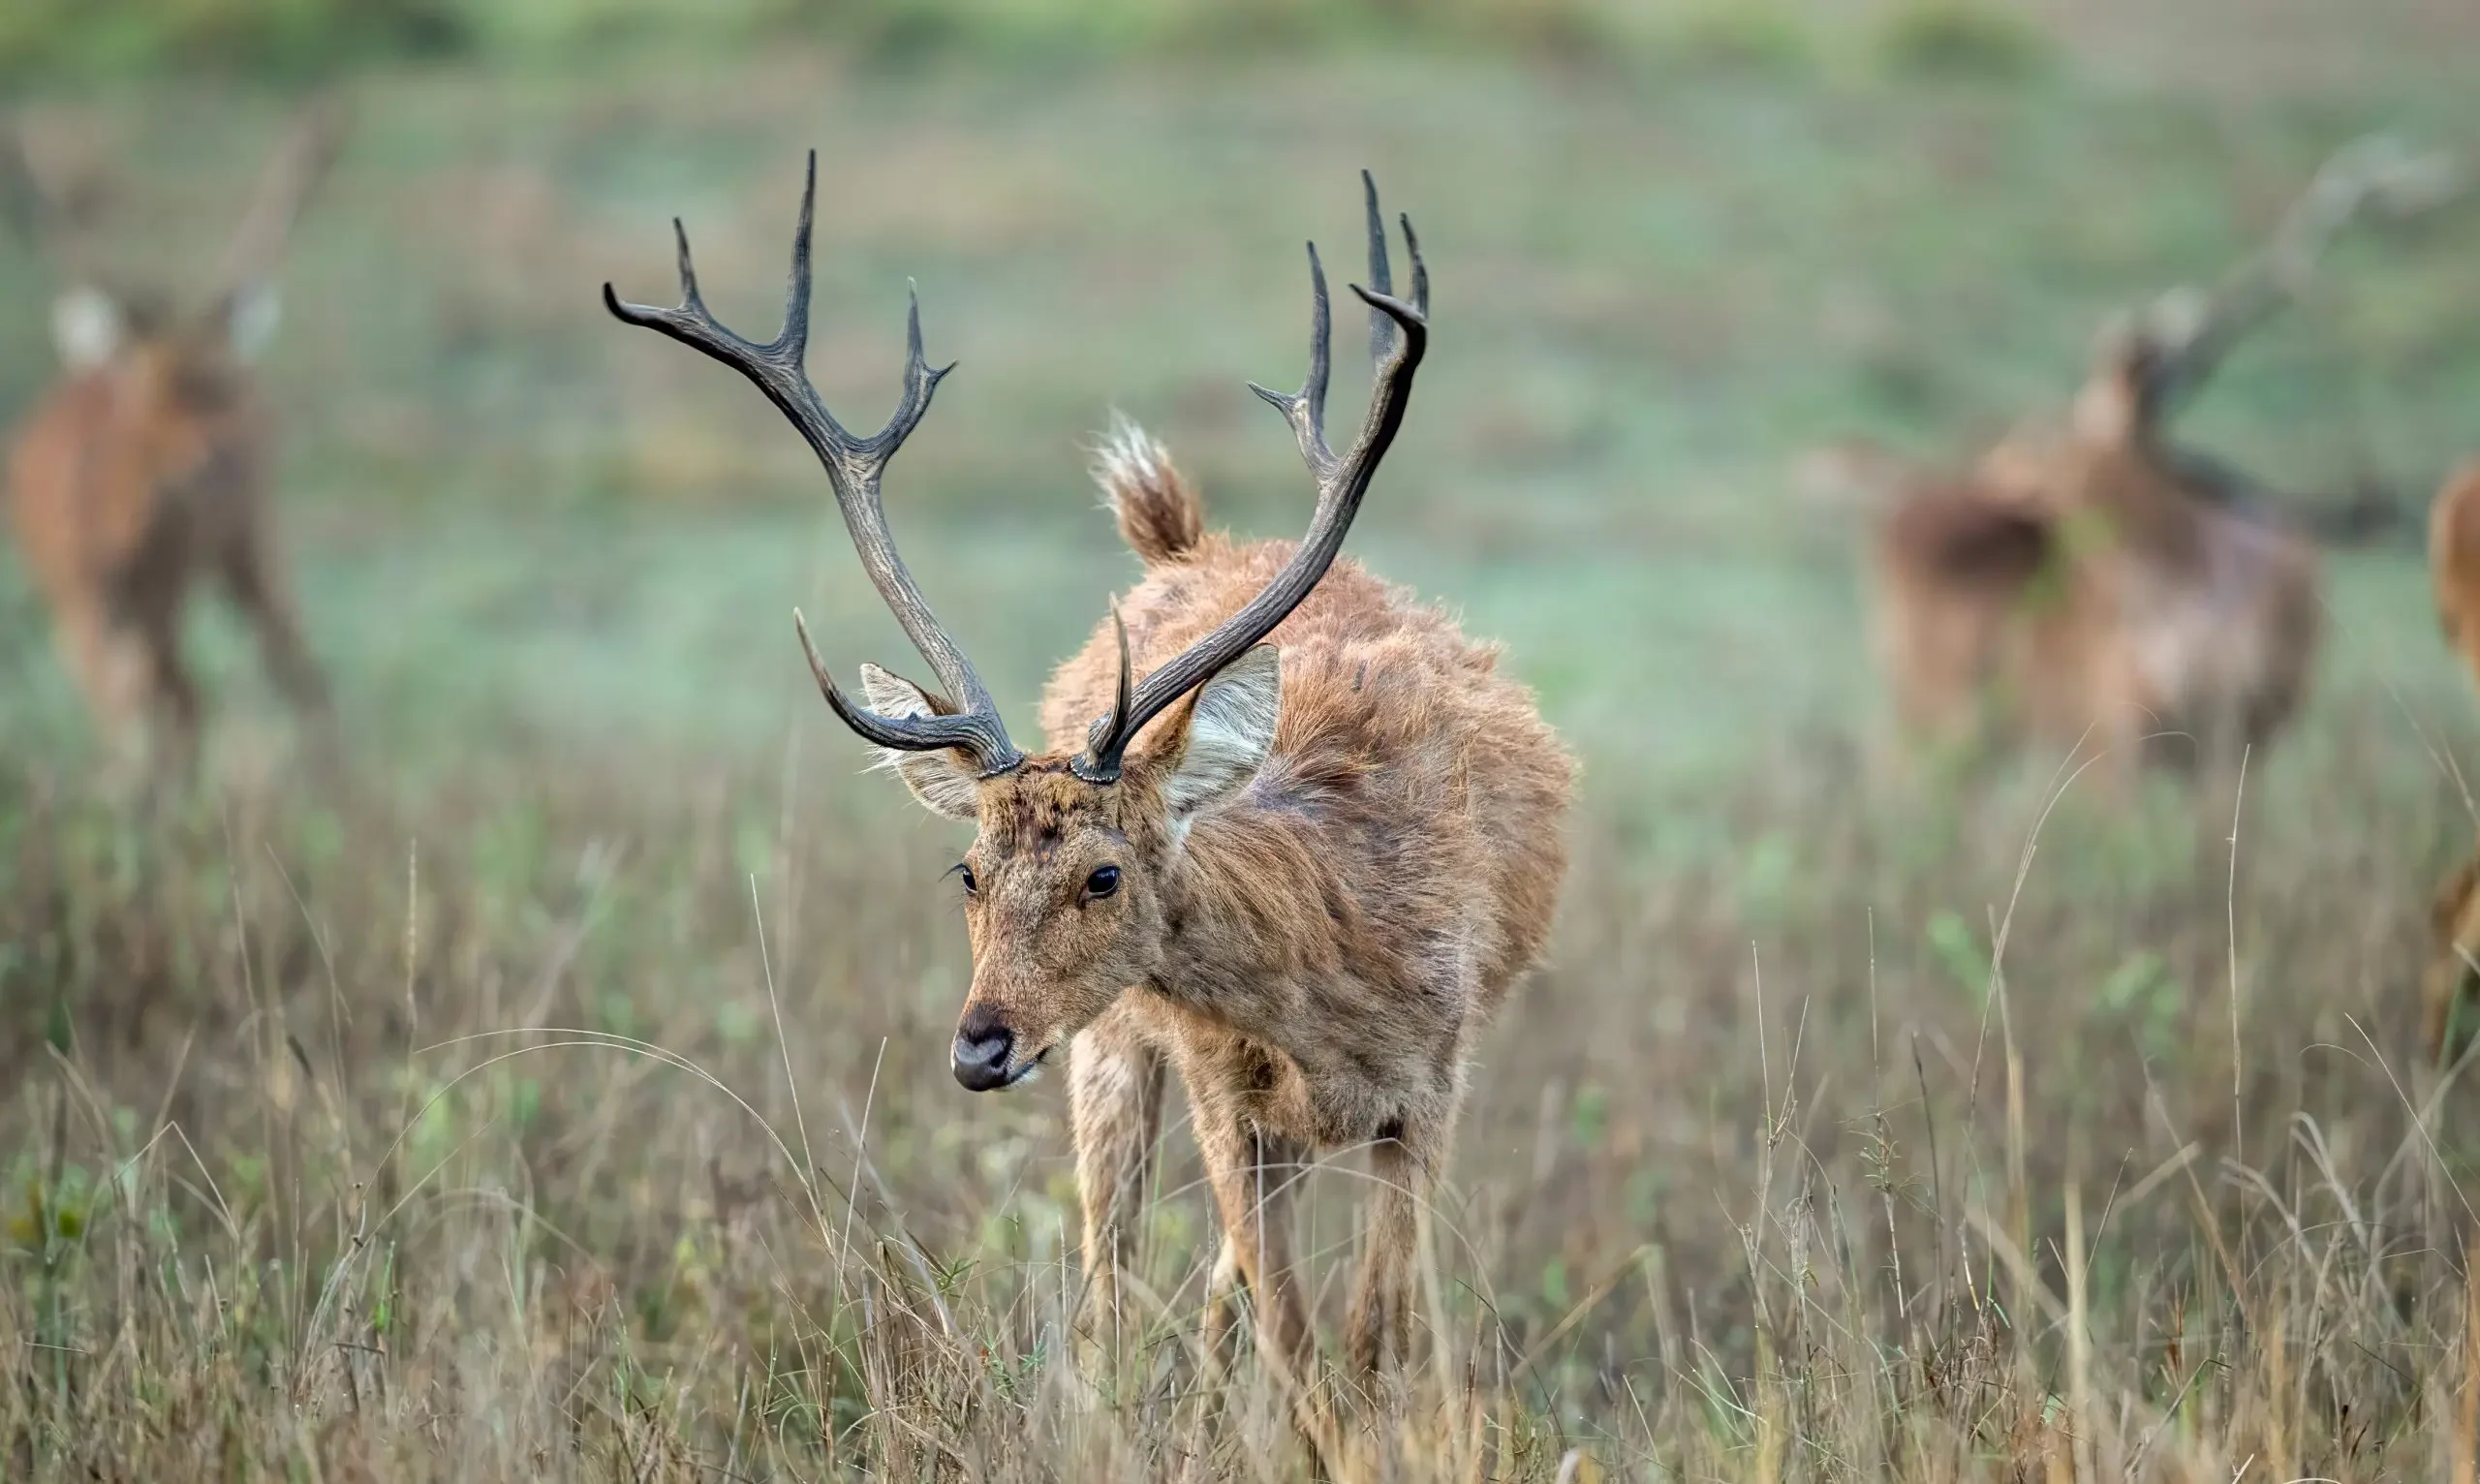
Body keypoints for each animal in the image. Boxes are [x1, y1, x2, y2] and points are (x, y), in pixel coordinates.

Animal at [1, 96, 344, 788]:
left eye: (226, 390)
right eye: (149, 402)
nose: (218, 459)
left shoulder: (159, 591)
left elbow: (151, 707)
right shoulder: (77, 597)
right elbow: (134, 707)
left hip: (246, 545)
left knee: (286, 670)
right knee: (187, 697)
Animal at [603, 157, 1566, 1469]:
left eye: (1102, 873)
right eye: (965, 870)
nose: (978, 1043)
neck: (1342, 969)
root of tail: (1190, 544)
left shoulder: (1431, 1086)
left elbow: (1371, 1344)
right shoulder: (1226, 1100)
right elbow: (1293, 1343)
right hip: (1112, 1054)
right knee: (1117, 1293)